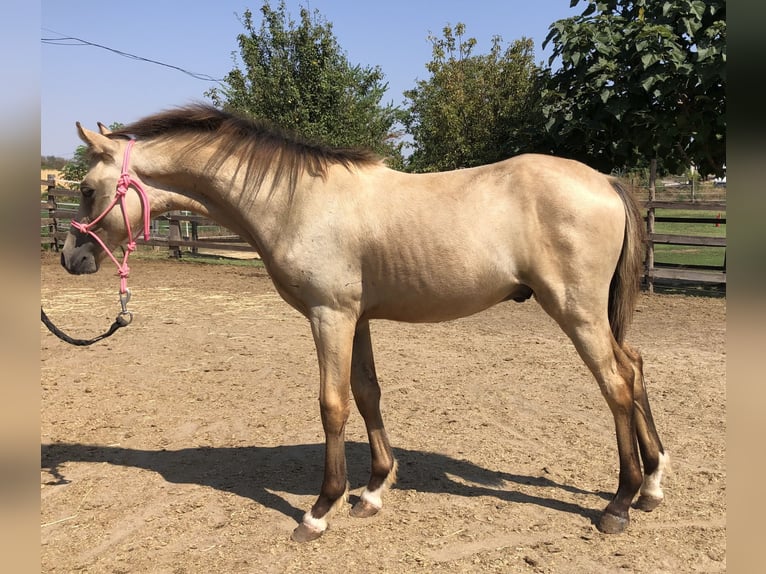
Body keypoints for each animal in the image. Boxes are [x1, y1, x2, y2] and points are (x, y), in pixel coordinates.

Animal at [61, 104, 672, 544]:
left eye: (87, 190)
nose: (71, 257)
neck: (296, 201)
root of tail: (606, 181)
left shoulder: (329, 315)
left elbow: (332, 404)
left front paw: (320, 509)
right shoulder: (358, 319)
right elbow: (367, 392)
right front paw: (373, 490)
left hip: (575, 310)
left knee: (617, 384)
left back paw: (619, 504)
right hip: (592, 314)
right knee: (636, 367)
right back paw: (652, 485)